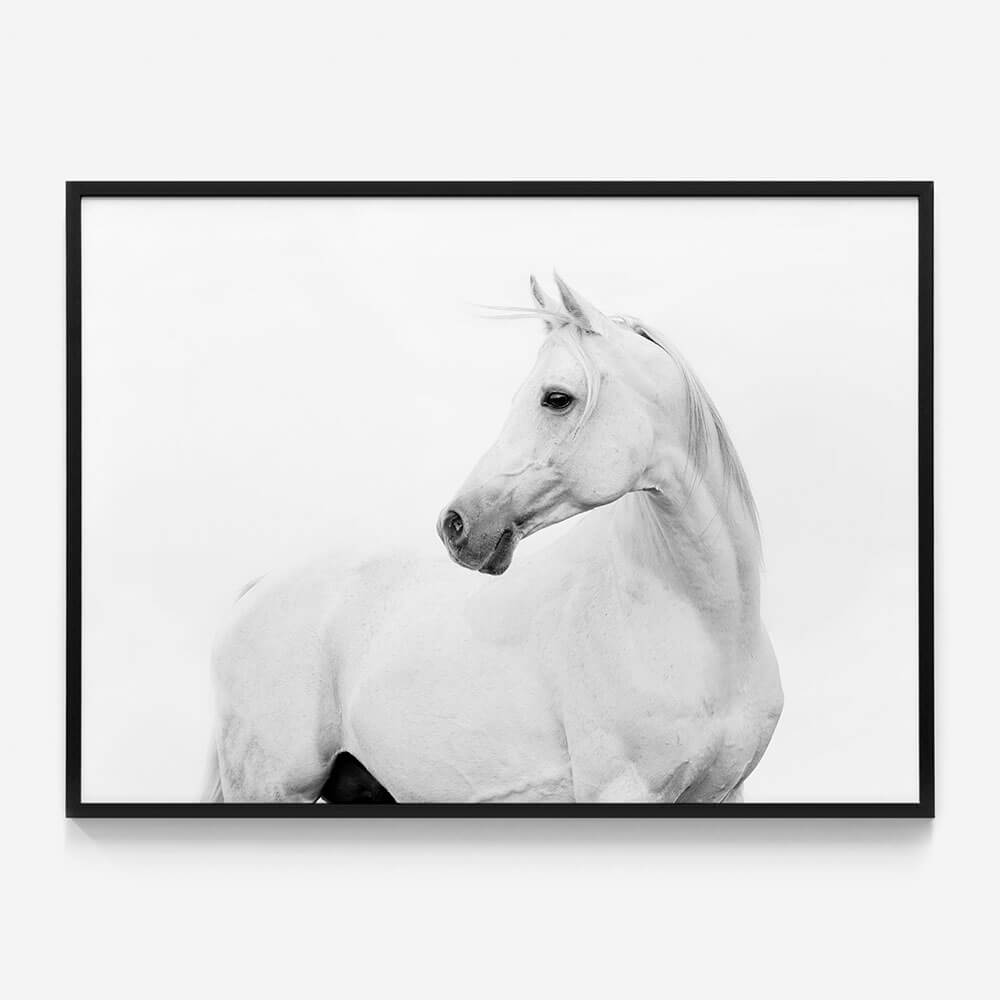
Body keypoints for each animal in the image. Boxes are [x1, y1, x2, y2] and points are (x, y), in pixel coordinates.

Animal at [203, 275, 782, 804]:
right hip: (271, 787)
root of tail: (260, 588)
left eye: (556, 398)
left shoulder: (724, 792)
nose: (455, 524)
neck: (705, 629)